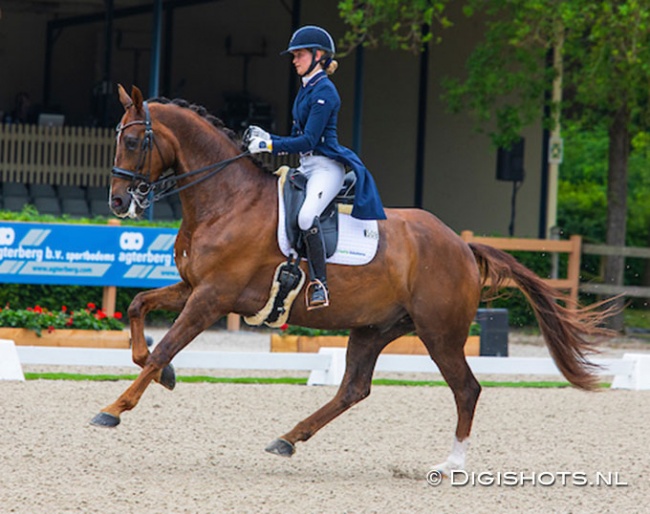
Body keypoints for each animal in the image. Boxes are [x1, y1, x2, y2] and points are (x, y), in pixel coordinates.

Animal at [93, 84, 612, 472]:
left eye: (134, 141)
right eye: (117, 137)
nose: (118, 202)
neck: (226, 199)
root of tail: (461, 245)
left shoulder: (212, 297)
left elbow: (165, 345)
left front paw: (114, 409)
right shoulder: (192, 287)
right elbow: (139, 312)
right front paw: (164, 376)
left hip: (439, 333)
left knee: (466, 389)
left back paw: (452, 464)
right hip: (375, 328)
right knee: (354, 388)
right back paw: (288, 438)